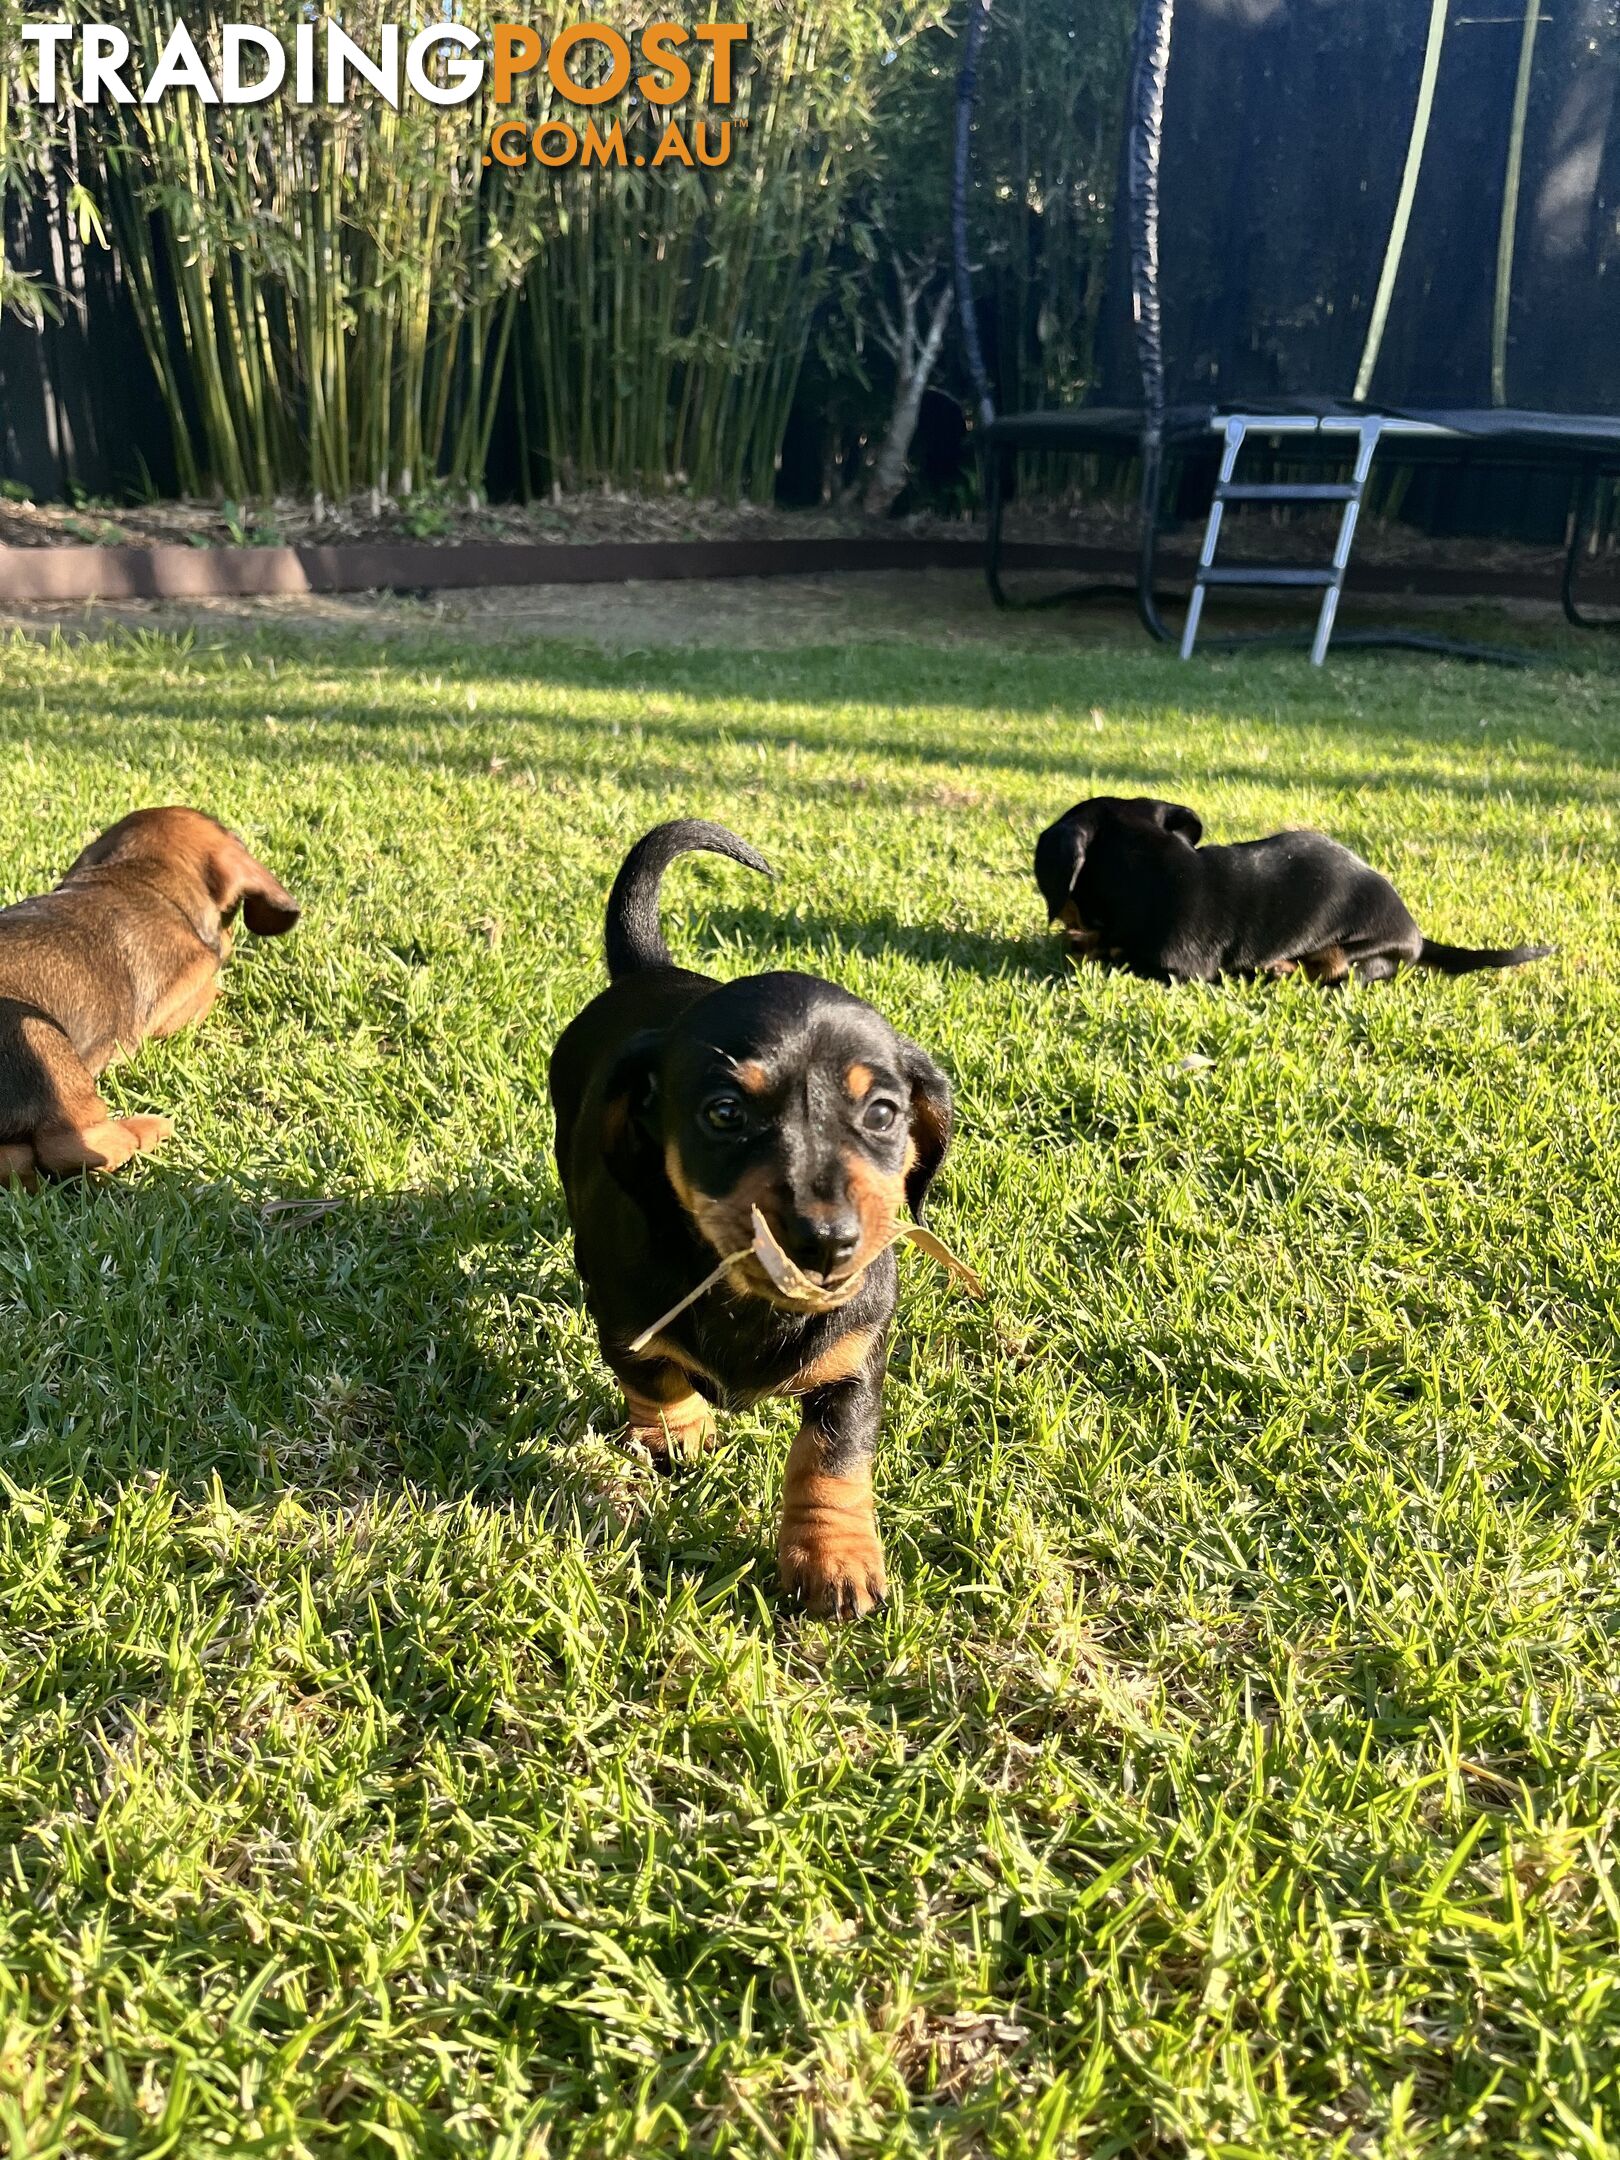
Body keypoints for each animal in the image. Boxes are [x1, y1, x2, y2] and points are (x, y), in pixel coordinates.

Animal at [548, 816, 950, 1615]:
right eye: (726, 1113)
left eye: (883, 1113)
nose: (824, 1244)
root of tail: (647, 973)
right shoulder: (627, 1322)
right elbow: (657, 1381)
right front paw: (681, 1438)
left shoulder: (855, 1360)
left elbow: (831, 1455)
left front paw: (835, 1560)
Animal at [1032, 794, 1555, 989]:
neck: (1157, 869)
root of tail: (1418, 937)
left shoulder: (1177, 970)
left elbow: (1110, 952)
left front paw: (1088, 943)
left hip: (1357, 949)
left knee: (1339, 971)